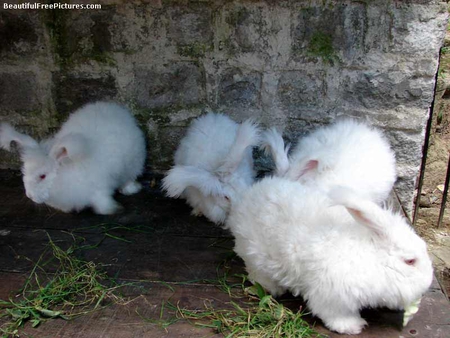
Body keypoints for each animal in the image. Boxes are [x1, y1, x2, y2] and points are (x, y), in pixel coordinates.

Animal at [0, 101, 146, 215]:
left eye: (42, 176)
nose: (29, 195)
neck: (65, 173)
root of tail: (116, 109)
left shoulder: (99, 188)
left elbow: (102, 201)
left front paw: (112, 210)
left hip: (132, 164)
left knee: (129, 178)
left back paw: (131, 189)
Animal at [227, 177, 434, 336]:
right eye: (410, 261)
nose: (428, 283)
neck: (371, 257)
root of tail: (248, 197)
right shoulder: (332, 295)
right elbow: (334, 314)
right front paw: (353, 327)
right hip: (256, 255)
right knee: (256, 272)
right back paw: (273, 288)